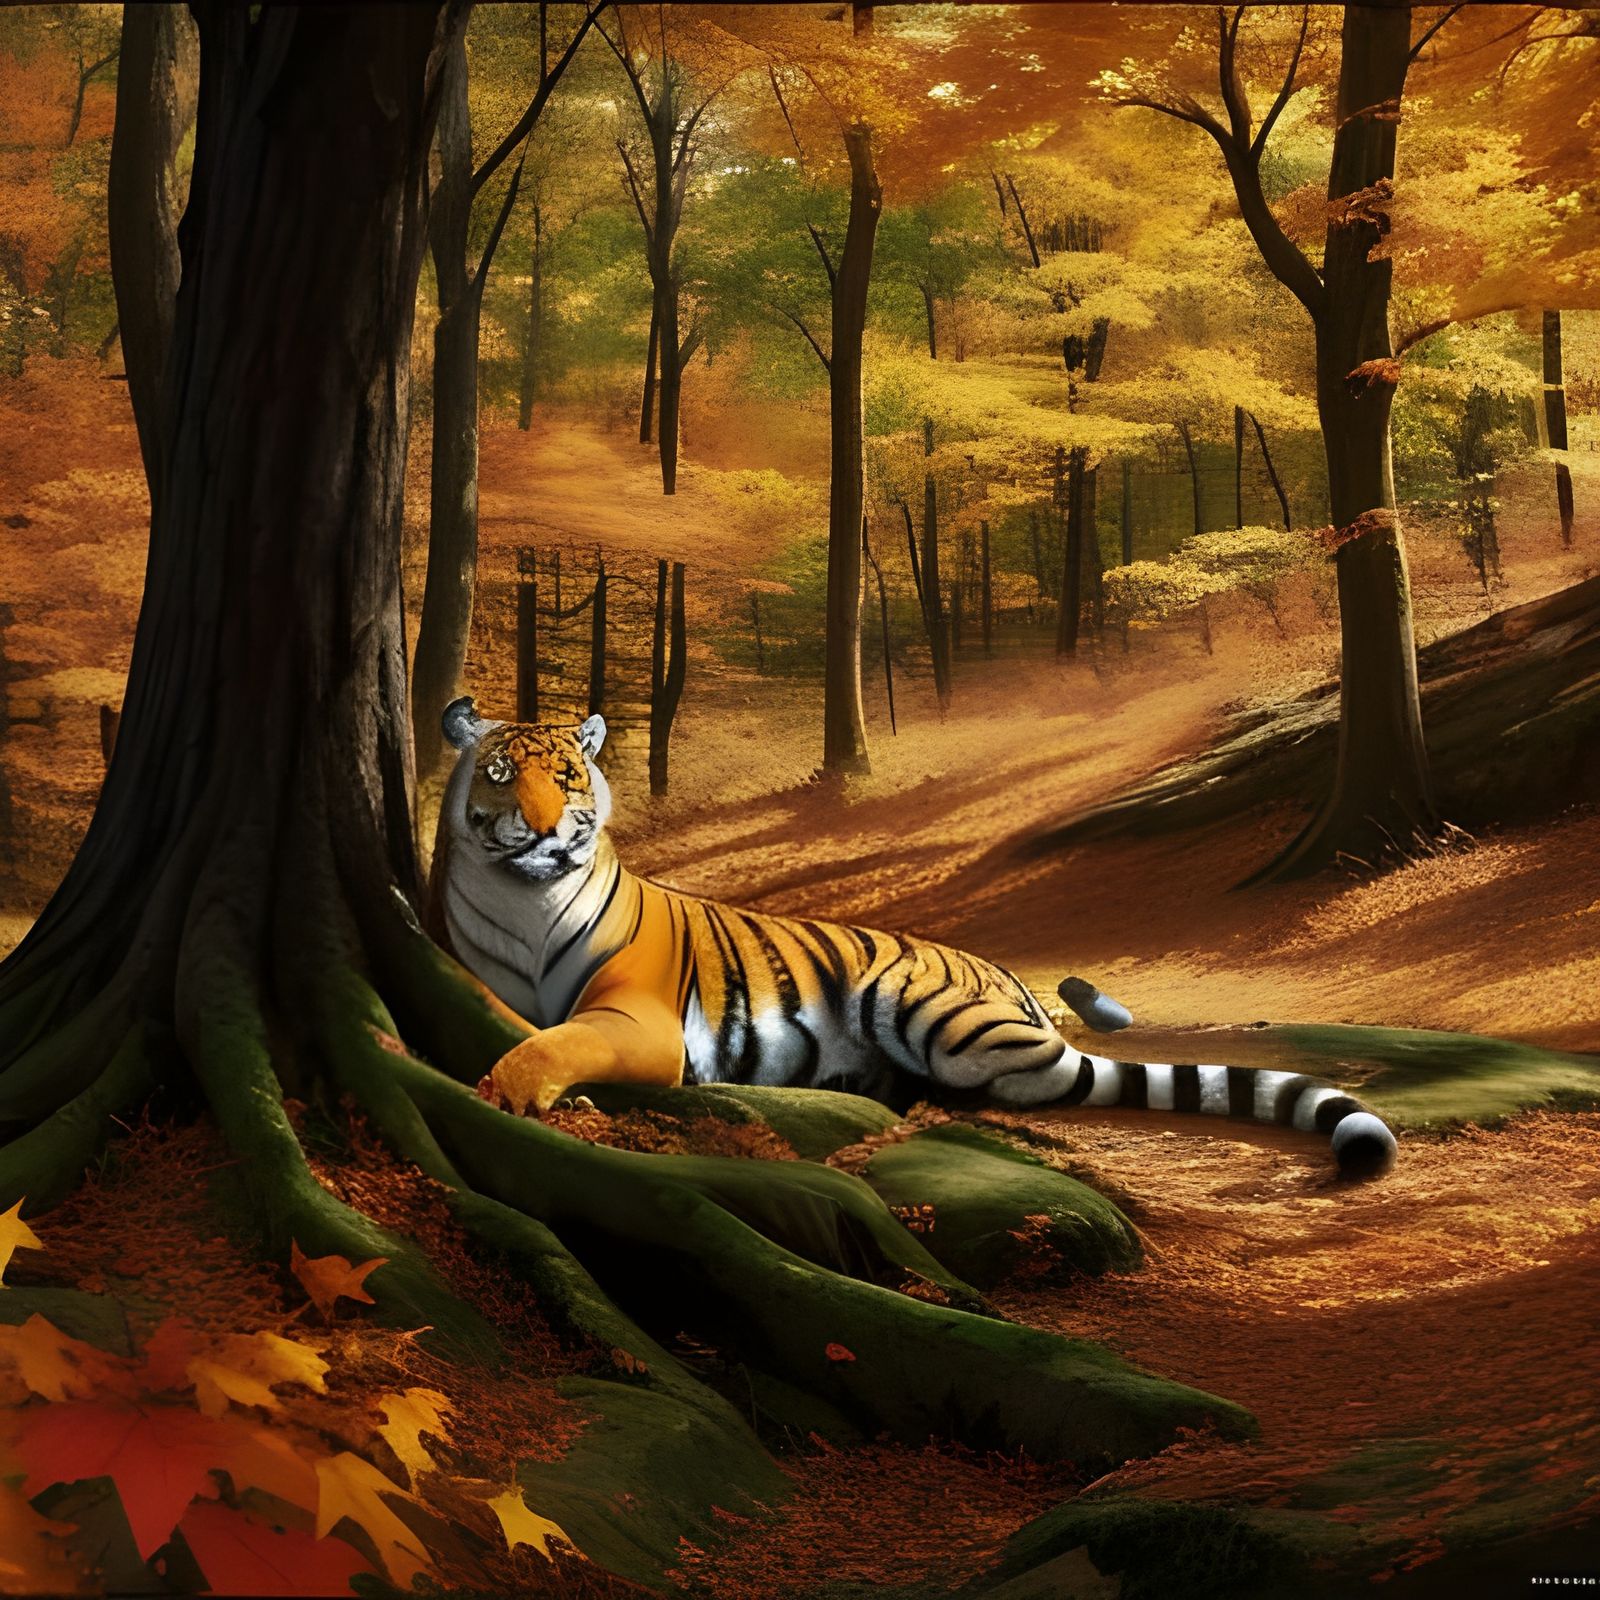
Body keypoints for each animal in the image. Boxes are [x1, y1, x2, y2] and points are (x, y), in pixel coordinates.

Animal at [430, 698, 1398, 1178]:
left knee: (1044, 1078)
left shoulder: (644, 1023)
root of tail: (1006, 976)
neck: (523, 899)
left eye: (568, 777)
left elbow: (559, 1039)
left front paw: (507, 1089)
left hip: (932, 1010)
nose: (542, 829)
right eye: (501, 772)